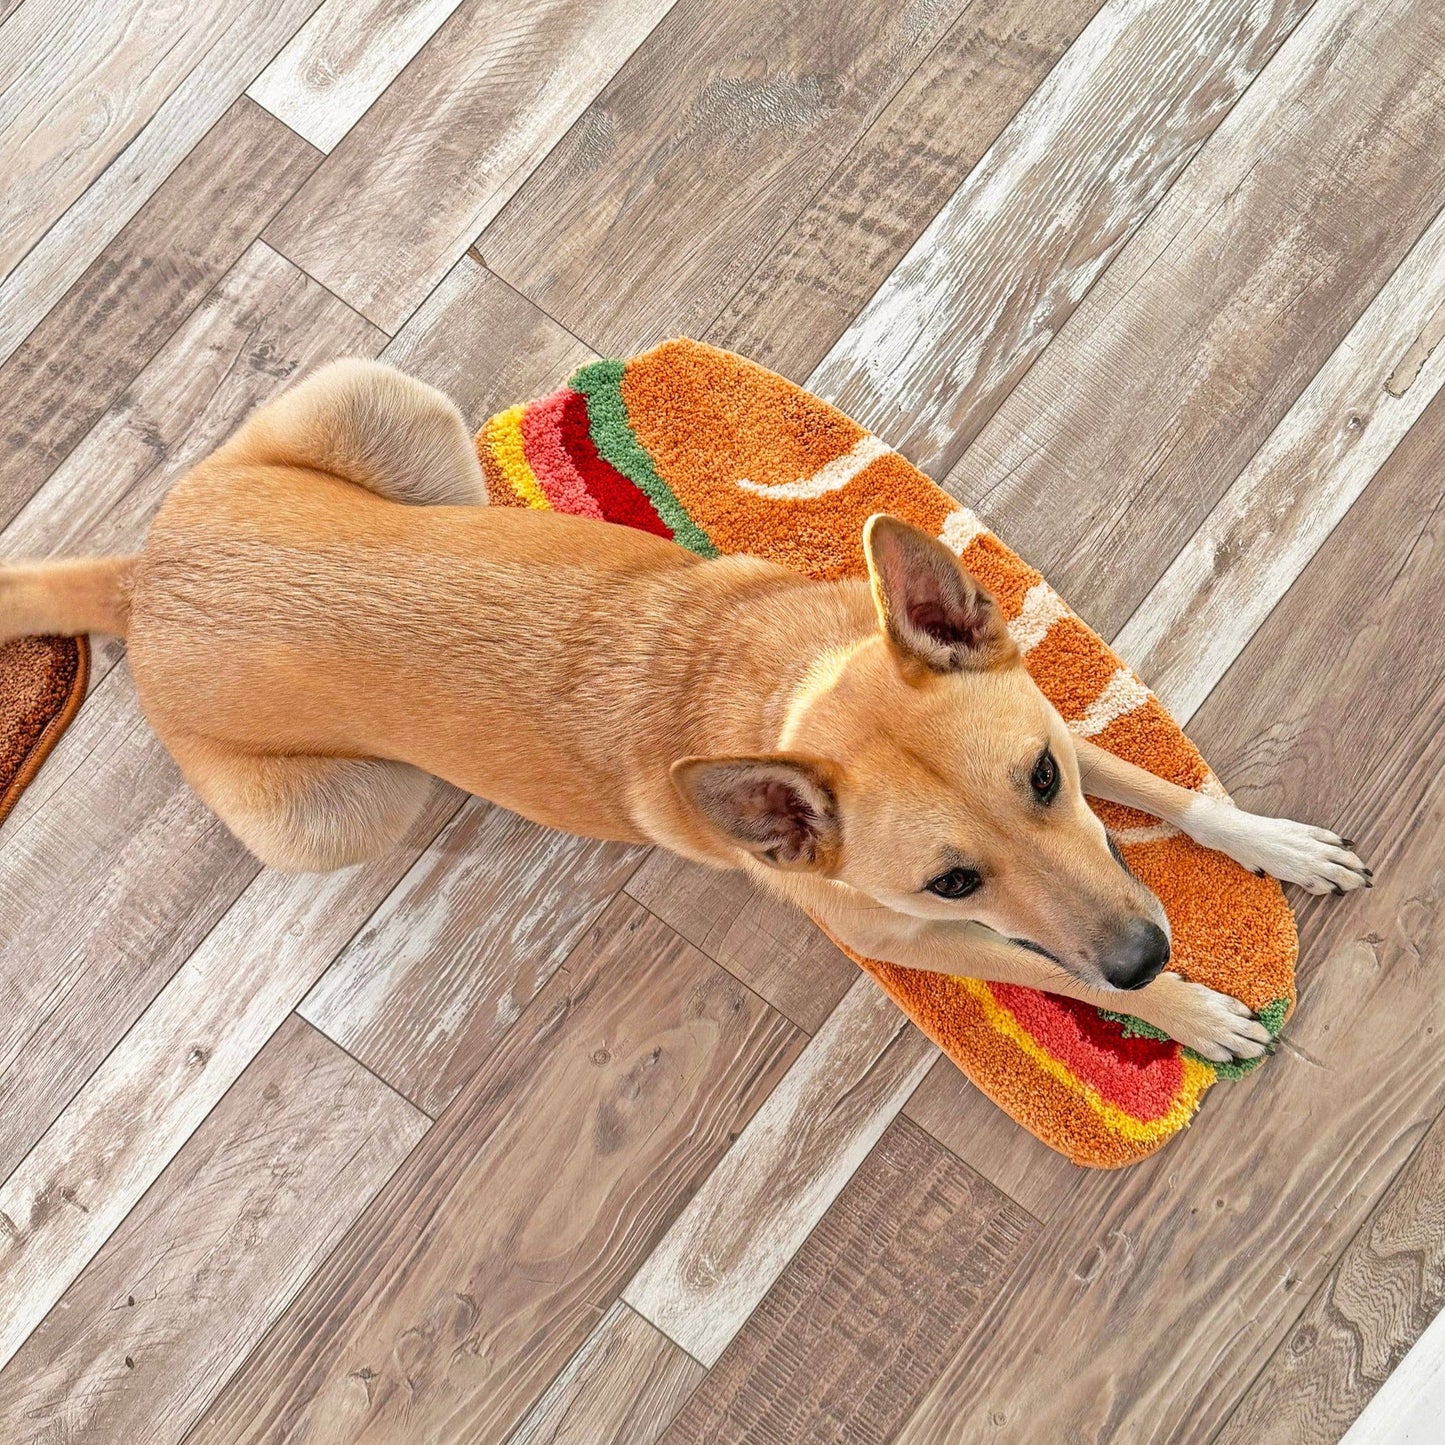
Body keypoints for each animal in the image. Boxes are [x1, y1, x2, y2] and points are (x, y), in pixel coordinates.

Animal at [5, 361, 1369, 1063]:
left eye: (1037, 778)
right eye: (949, 884)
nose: (1142, 950)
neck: (783, 694)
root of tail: (140, 579)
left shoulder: (1030, 710)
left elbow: (1154, 786)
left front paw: (1270, 843)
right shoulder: (921, 943)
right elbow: (1048, 968)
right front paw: (1181, 1008)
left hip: (380, 413)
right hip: (342, 808)